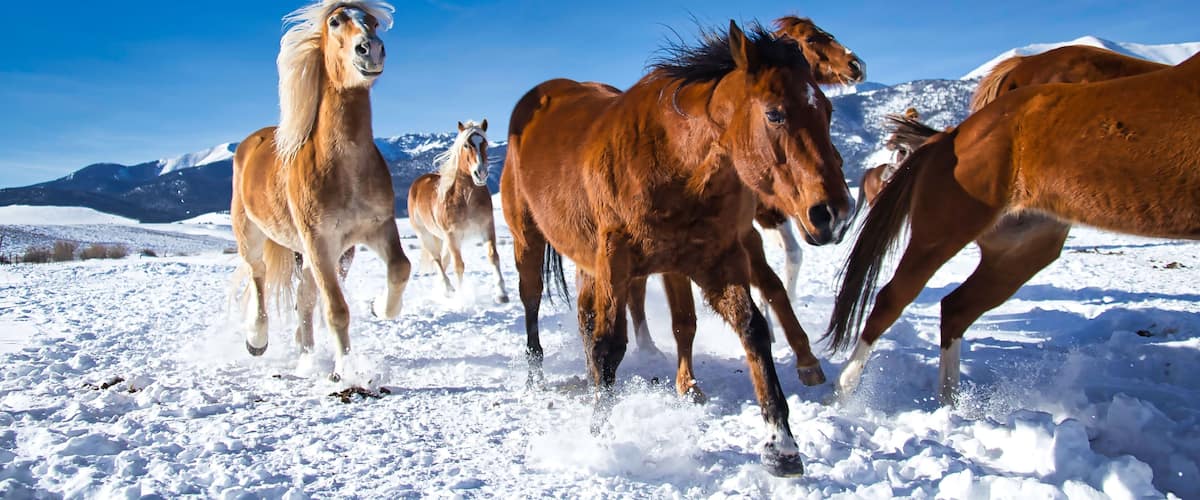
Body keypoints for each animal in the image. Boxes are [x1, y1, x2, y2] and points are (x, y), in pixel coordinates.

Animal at [230, 0, 410, 381]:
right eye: (335, 21)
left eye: (373, 23)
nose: (370, 49)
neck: (344, 167)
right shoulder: (318, 242)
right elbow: (336, 309)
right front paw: (346, 370)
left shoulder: (375, 230)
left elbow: (400, 268)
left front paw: (379, 307)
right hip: (252, 235)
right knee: (259, 278)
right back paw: (257, 340)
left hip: (329, 255)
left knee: (304, 299)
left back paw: (306, 353)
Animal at [407, 120, 509, 303]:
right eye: (467, 145)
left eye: (485, 143)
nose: (480, 173)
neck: (465, 198)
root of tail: (418, 183)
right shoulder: (452, 235)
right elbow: (459, 265)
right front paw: (462, 297)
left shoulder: (487, 227)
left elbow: (493, 256)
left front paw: (501, 293)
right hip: (426, 236)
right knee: (437, 260)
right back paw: (448, 289)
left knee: (443, 261)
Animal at [624, 15, 865, 396]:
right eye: (814, 38)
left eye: (828, 110)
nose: (856, 64)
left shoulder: (753, 226)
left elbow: (775, 279)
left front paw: (801, 353)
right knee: (635, 289)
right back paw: (647, 347)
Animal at [826, 50, 1197, 406]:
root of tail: (952, 136)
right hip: (944, 231)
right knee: (893, 299)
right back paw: (844, 393)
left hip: (1022, 248)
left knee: (956, 307)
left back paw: (951, 405)